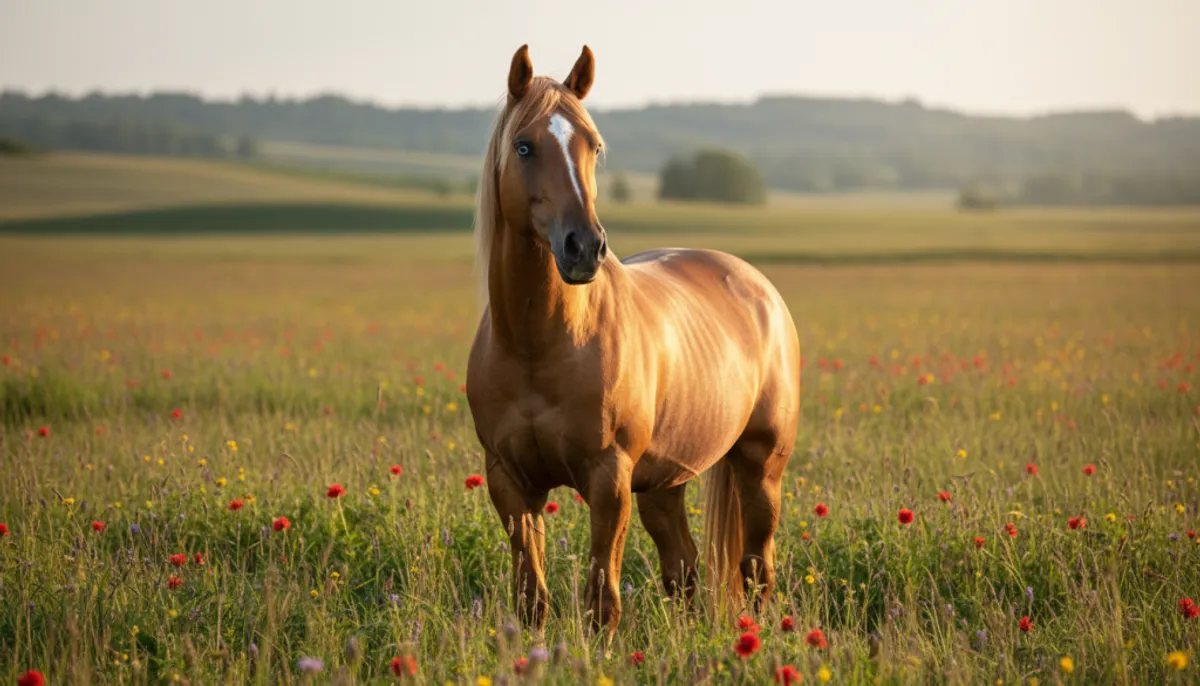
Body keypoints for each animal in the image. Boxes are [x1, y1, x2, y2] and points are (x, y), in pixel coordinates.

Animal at [465, 44, 801, 639]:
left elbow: (602, 602)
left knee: (757, 566)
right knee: (684, 570)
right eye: (524, 146)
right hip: (665, 483)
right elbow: (531, 598)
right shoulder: (510, 482)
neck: (537, 347)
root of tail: (758, 286)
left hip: (761, 467)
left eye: (593, 145)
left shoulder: (609, 479)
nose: (584, 247)